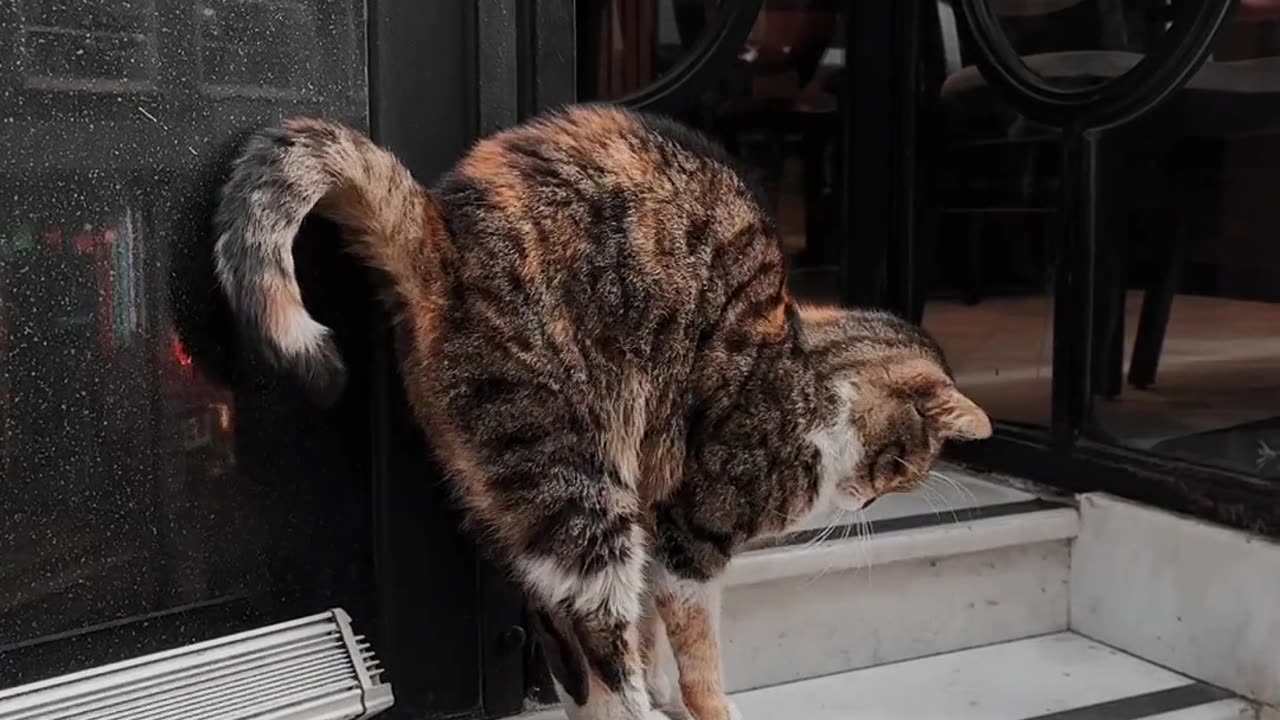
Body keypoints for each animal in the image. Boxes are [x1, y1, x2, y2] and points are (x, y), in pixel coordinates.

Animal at [212, 103, 988, 712]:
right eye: (904, 470)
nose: (866, 505)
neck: (807, 372)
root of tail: (439, 236)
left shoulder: (655, 518)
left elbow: (653, 637)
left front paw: (669, 692)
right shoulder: (687, 537)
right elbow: (697, 652)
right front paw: (704, 704)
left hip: (534, 496)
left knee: (567, 636)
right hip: (579, 485)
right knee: (599, 633)